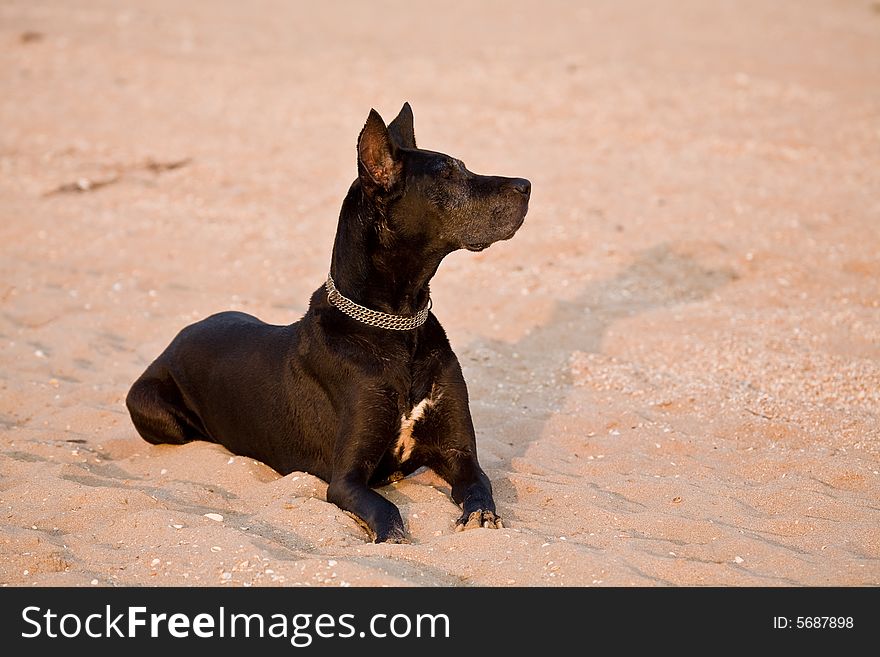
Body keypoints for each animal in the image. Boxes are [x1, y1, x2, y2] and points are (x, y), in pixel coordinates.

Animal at [125, 105, 528, 540]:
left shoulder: (460, 453)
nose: (526, 185)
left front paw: (481, 515)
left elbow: (481, 485)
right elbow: (387, 512)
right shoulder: (346, 479)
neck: (397, 327)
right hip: (151, 407)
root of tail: (178, 337)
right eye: (448, 174)